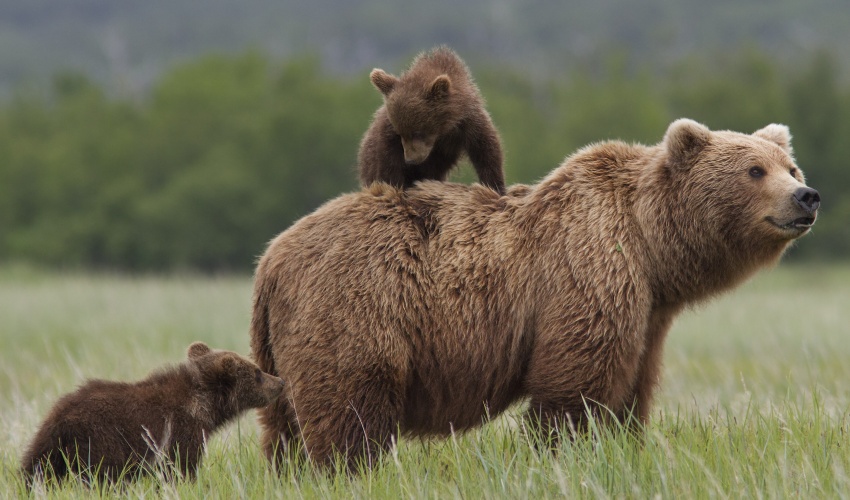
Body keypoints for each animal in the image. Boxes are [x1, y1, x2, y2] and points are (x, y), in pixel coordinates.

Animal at [250, 119, 816, 470]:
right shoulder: (587, 271)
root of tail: (271, 258)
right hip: (356, 307)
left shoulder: (648, 314)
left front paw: (625, 446)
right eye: (754, 170)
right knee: (351, 413)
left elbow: (632, 389)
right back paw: (349, 470)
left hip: (283, 343)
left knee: (283, 426)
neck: (651, 248)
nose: (806, 197)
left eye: (790, 167)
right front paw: (563, 453)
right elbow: (574, 387)